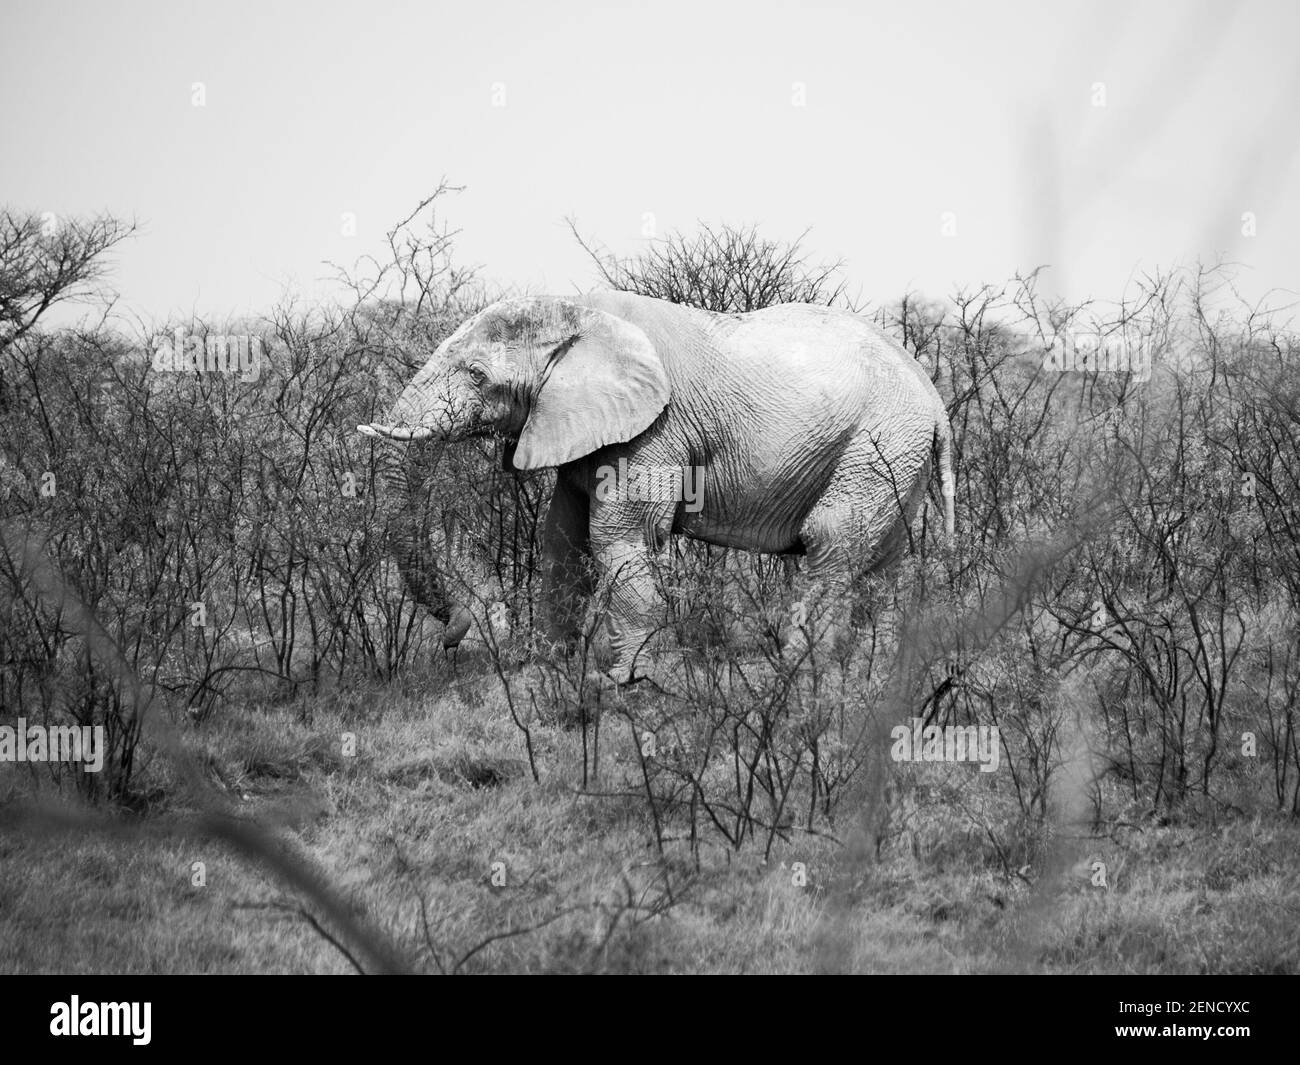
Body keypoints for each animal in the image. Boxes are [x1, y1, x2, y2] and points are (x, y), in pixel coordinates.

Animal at [356, 287, 956, 681]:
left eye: (477, 375)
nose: (456, 632)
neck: (578, 310)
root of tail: (934, 399)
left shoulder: (655, 427)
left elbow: (618, 538)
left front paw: (622, 682)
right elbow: (562, 540)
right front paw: (547, 669)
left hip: (878, 442)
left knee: (831, 543)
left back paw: (793, 677)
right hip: (894, 457)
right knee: (882, 563)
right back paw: (870, 675)